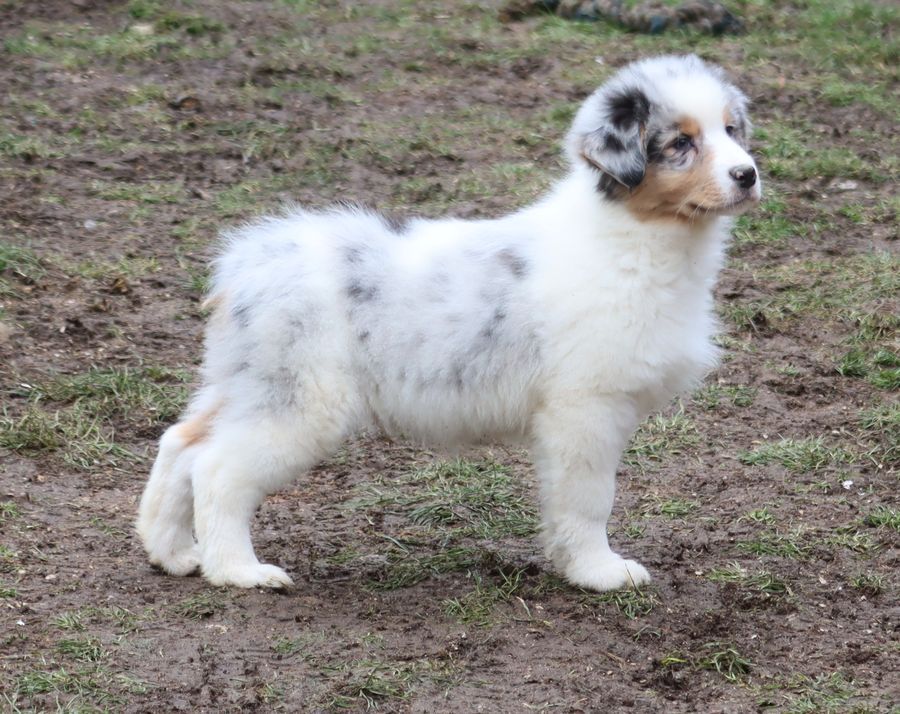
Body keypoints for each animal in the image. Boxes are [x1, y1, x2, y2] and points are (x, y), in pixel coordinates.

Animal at [137, 54, 764, 588]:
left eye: (732, 130)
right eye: (680, 142)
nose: (748, 174)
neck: (642, 238)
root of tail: (246, 264)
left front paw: (572, 564)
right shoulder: (587, 407)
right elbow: (588, 499)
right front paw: (600, 572)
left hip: (247, 382)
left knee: (182, 442)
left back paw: (172, 552)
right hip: (300, 402)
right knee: (217, 469)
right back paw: (238, 571)